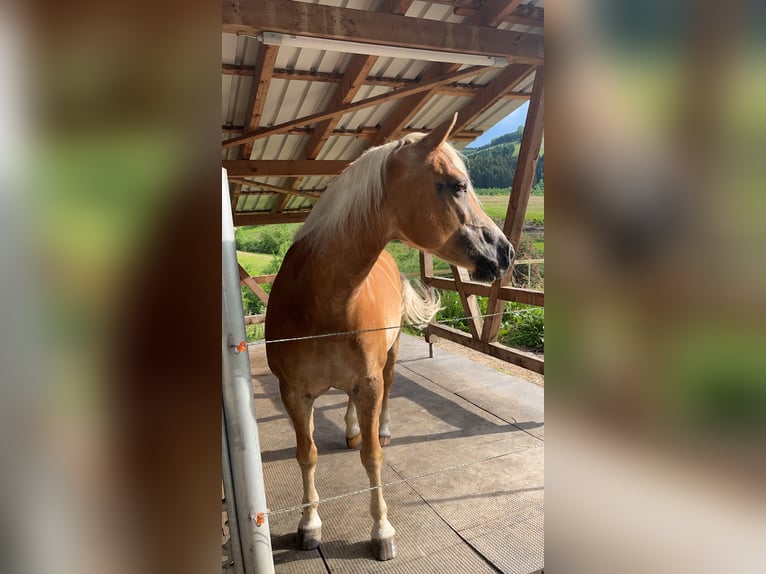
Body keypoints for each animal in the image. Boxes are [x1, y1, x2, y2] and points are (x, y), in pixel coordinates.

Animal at [266, 113, 516, 564]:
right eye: (457, 185)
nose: (505, 252)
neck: (320, 300)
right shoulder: (293, 393)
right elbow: (306, 455)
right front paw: (308, 524)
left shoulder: (369, 383)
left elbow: (372, 457)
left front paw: (381, 530)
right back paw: (351, 429)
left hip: (390, 359)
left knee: (386, 394)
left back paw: (377, 429)